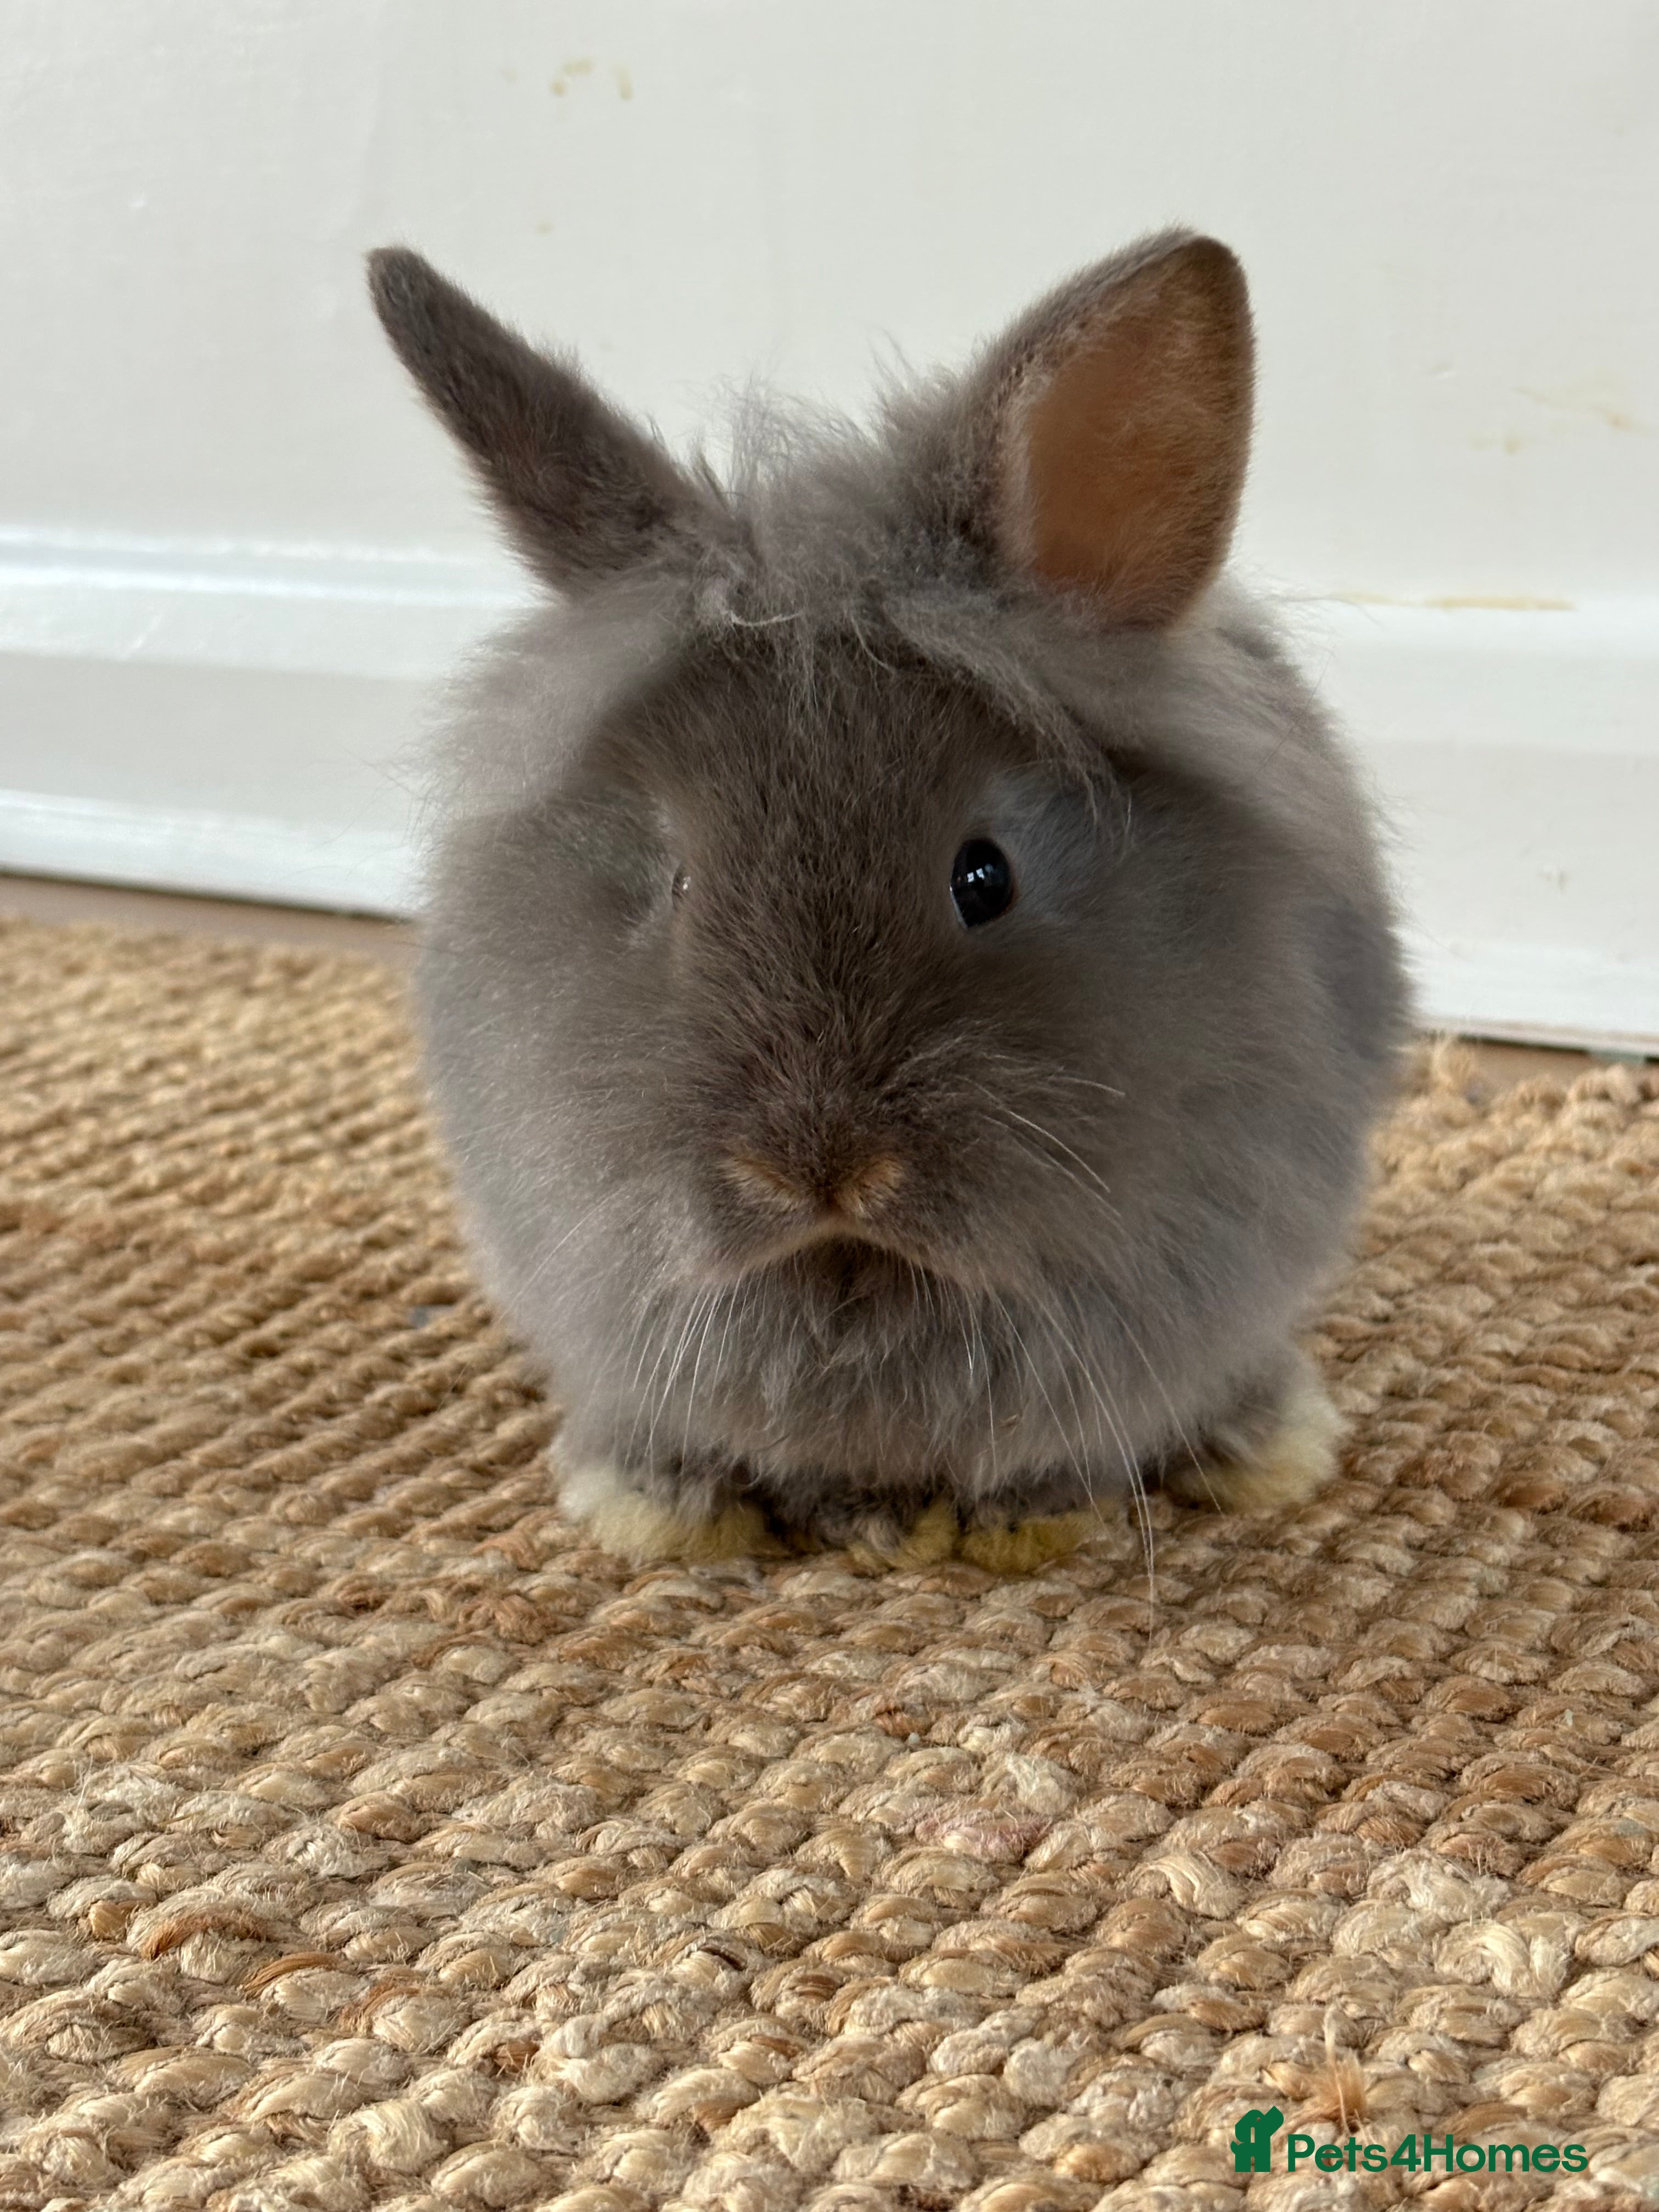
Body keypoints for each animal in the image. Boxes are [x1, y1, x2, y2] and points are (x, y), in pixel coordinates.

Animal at [367, 230, 1408, 1571]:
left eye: (984, 877)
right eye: (676, 880)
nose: (814, 1168)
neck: (855, 1272)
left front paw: (1025, 1521)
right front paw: (656, 1507)